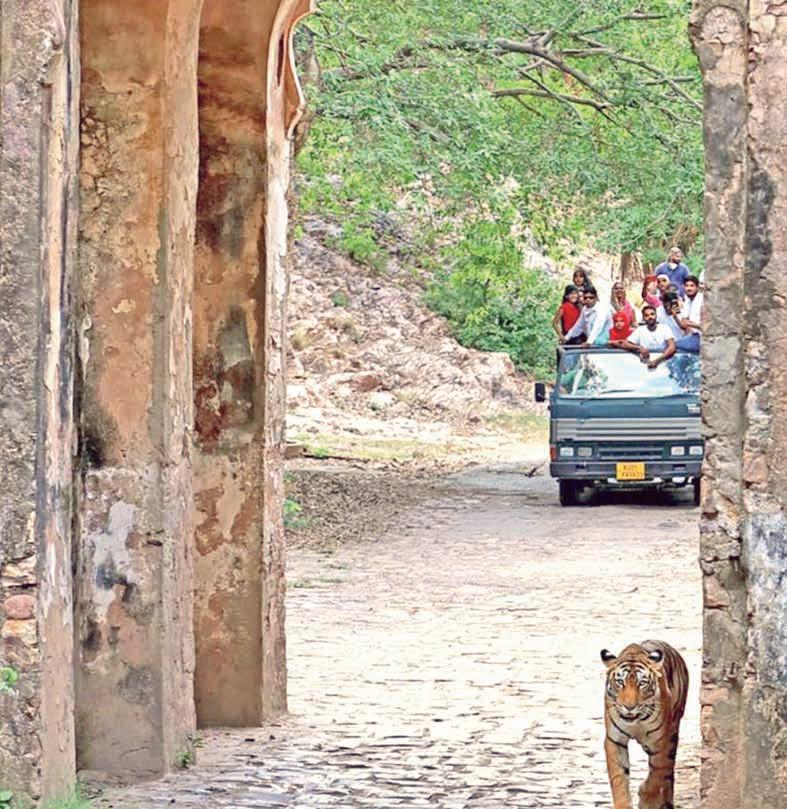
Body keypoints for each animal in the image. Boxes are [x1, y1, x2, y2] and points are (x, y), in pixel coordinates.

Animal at [600, 640, 689, 809]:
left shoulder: (660, 742)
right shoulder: (615, 740)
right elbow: (618, 777)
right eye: (620, 682)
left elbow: (656, 774)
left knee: (667, 772)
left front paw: (647, 800)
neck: (637, 721)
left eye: (642, 683)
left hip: (673, 733)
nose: (629, 707)